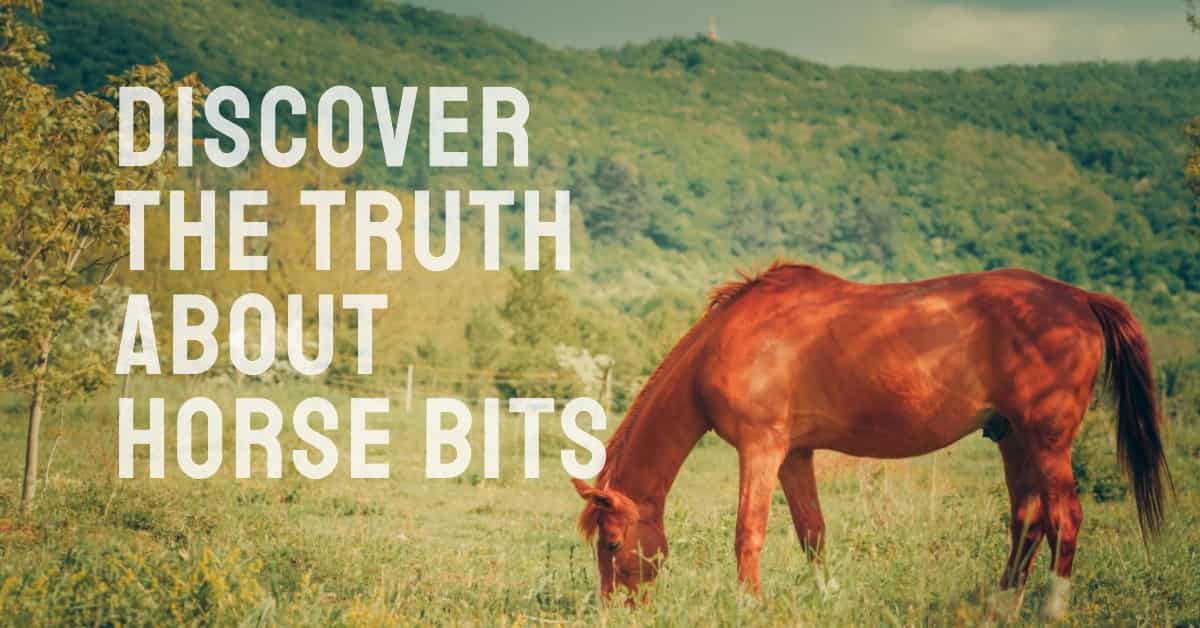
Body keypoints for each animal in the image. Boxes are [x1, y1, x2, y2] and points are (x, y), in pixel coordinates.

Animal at [570, 262, 1170, 620]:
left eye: (612, 544)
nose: (614, 611)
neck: (729, 339)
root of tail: (1080, 299)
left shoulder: (761, 448)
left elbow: (748, 534)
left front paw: (748, 607)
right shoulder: (794, 454)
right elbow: (812, 532)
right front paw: (827, 599)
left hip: (1046, 441)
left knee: (1065, 517)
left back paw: (1051, 610)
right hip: (1012, 439)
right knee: (1028, 518)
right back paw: (1000, 608)